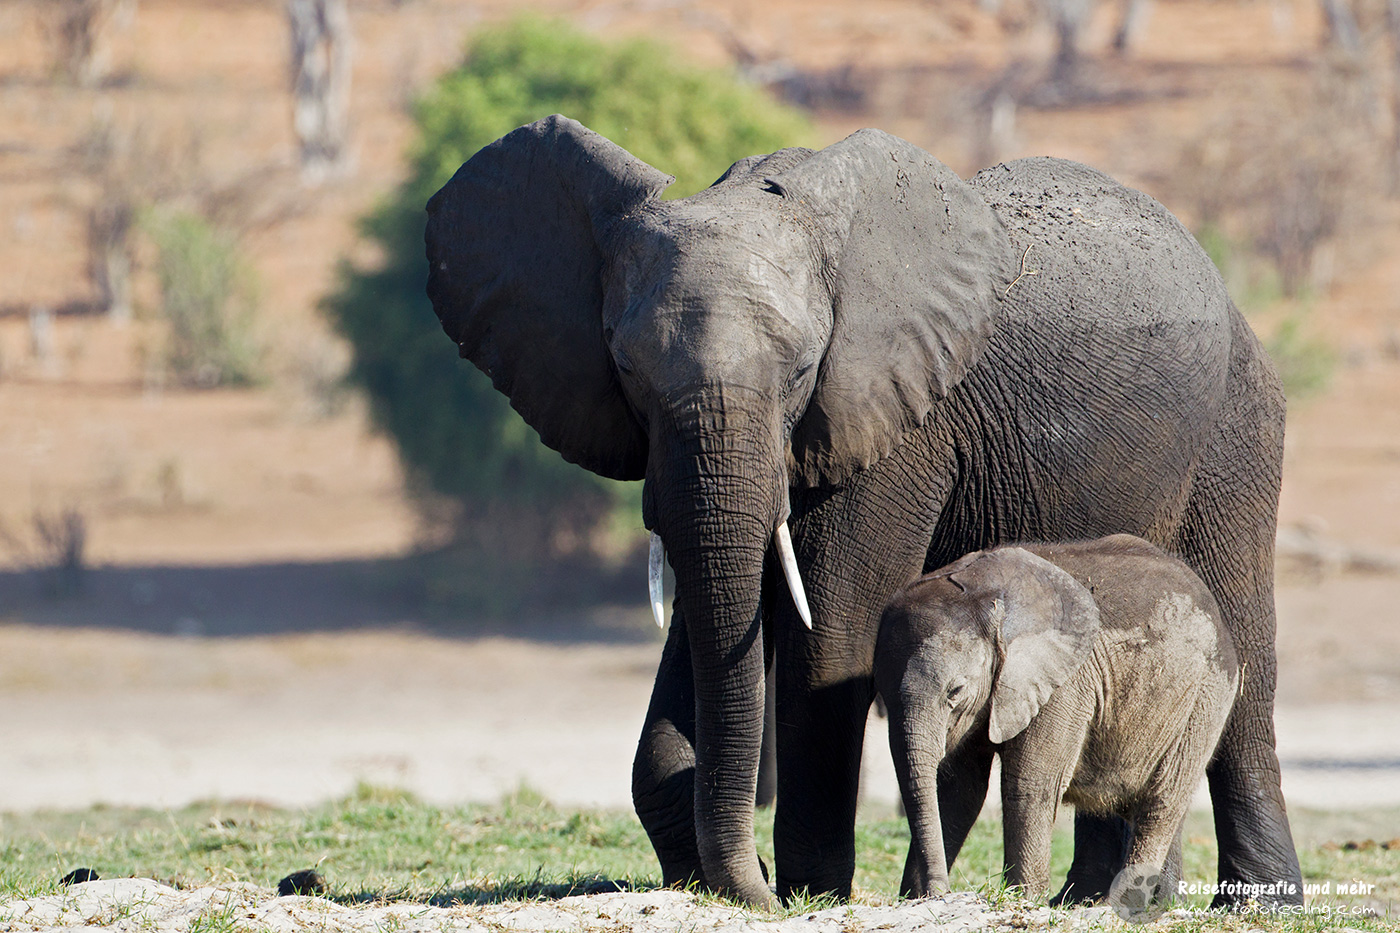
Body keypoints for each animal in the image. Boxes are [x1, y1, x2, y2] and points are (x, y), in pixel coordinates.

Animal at [873, 535, 1239, 901]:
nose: (940, 891)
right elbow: (958, 790)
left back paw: (1114, 906)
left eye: (956, 691)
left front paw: (1023, 899)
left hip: (1206, 698)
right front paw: (914, 899)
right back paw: (1154, 905)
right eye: (882, 693)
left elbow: (1029, 784)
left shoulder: (1065, 683)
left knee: (1163, 801)